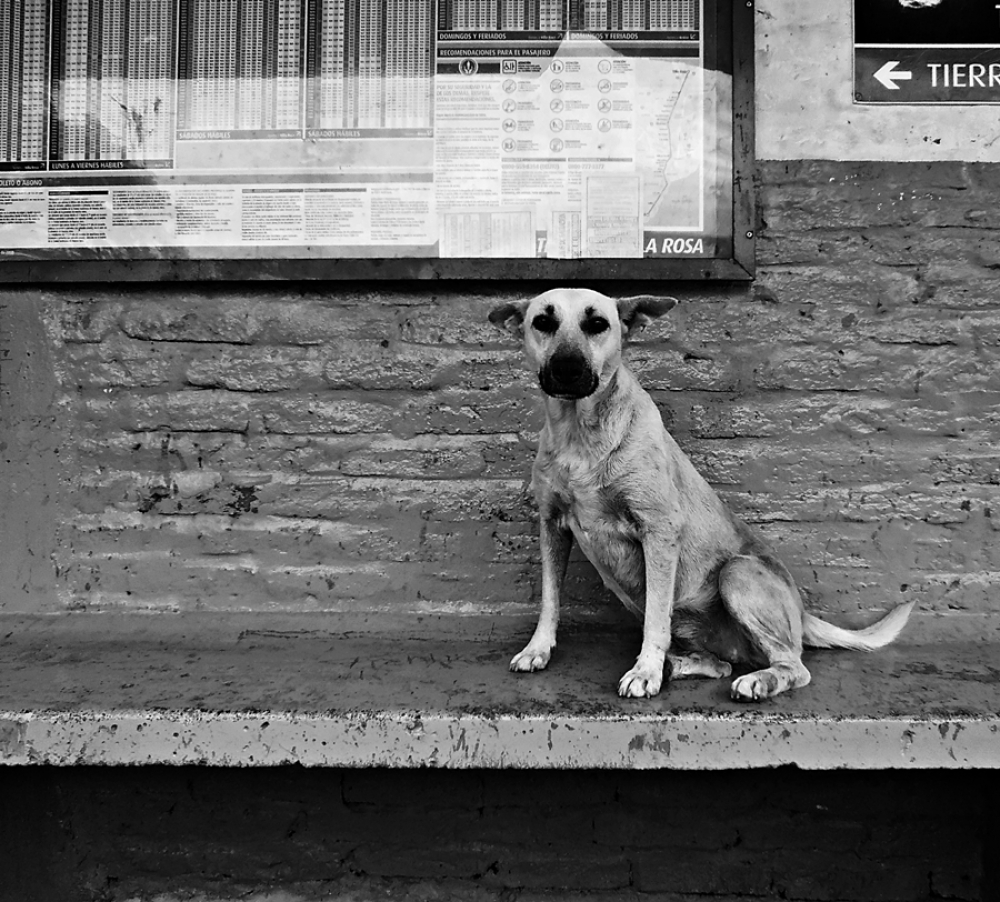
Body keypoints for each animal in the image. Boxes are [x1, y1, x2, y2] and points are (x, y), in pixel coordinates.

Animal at [490, 286, 916, 704]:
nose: (567, 367)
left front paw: (645, 672)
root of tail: (801, 613)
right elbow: (550, 599)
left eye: (597, 325)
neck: (580, 433)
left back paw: (756, 681)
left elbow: (655, 620)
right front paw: (538, 649)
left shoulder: (659, 530)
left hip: (737, 573)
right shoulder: (552, 527)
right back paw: (681, 666)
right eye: (543, 322)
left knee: (794, 665)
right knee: (722, 663)